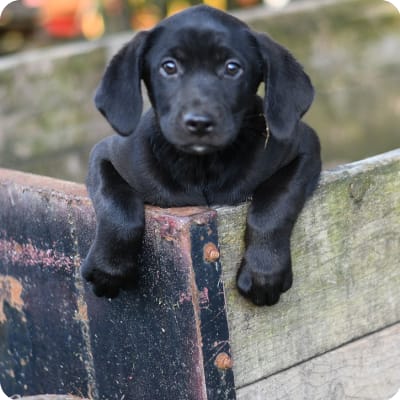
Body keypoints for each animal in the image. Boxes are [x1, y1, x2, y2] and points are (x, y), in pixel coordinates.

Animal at [81, 5, 322, 306]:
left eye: (232, 68)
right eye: (169, 67)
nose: (199, 123)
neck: (202, 166)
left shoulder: (305, 148)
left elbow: (275, 204)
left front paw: (264, 272)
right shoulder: (104, 155)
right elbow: (118, 207)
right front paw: (108, 269)